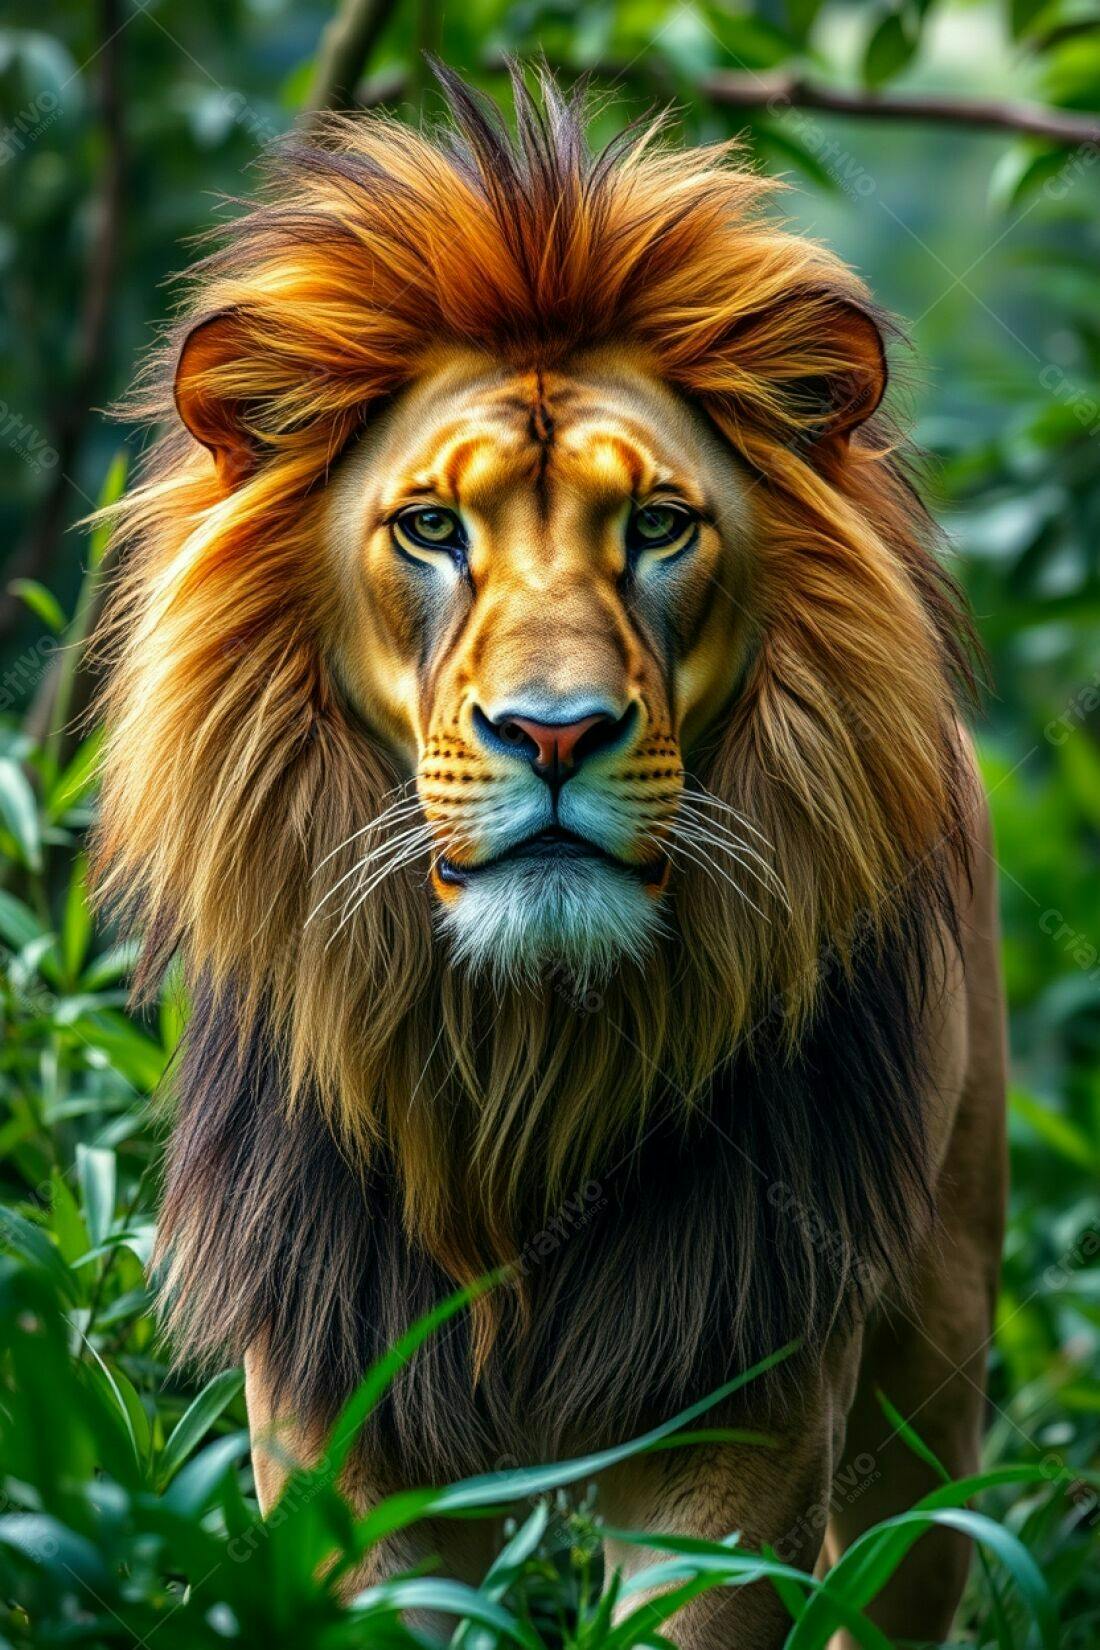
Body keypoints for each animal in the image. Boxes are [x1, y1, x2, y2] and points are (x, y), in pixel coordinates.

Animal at [95, 66, 1006, 1648]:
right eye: (428, 528)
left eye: (657, 524)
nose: (555, 731)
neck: (527, 1061)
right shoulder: (338, 1401)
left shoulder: (745, 1396)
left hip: (932, 1363)